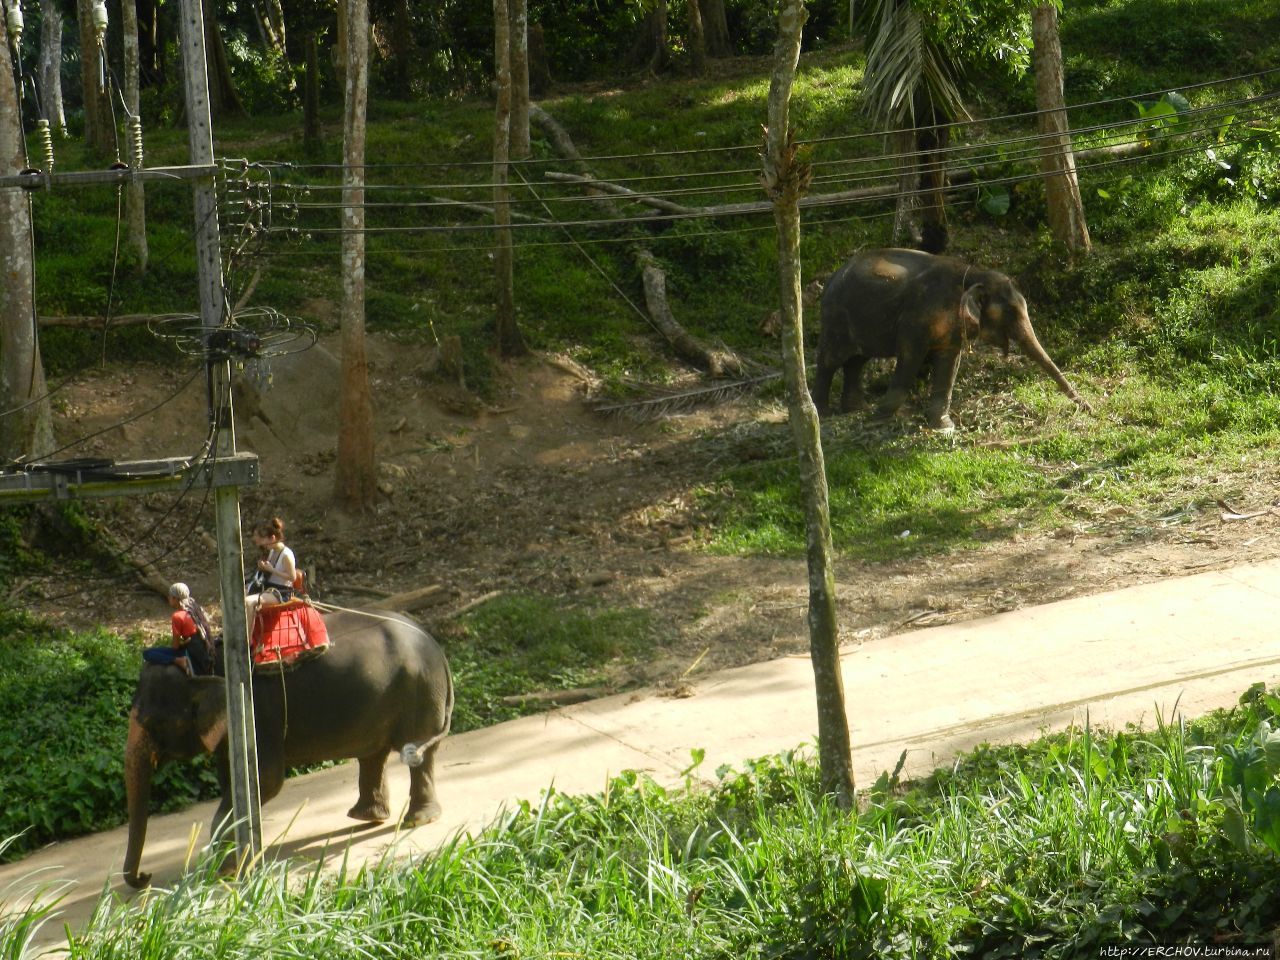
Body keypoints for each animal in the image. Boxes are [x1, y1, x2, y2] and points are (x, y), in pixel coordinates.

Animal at [120, 611, 458, 890]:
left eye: (152, 722)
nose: (145, 877)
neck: (205, 663)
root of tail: (435, 645)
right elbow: (236, 783)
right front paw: (244, 855)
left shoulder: (258, 717)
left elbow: (266, 780)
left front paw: (226, 871)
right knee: (374, 755)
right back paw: (366, 816)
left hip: (420, 694)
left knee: (417, 755)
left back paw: (417, 820)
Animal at [808, 248, 1090, 432]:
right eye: (1010, 312)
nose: (1087, 406)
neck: (974, 274)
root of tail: (831, 277)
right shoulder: (916, 317)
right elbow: (910, 356)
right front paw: (880, 417)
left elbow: (949, 361)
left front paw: (943, 426)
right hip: (835, 317)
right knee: (831, 360)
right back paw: (823, 413)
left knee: (857, 360)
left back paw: (855, 409)